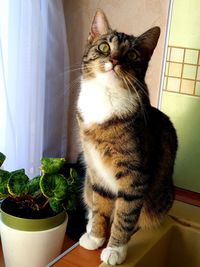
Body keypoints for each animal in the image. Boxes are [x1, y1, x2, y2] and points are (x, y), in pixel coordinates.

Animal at [76, 8, 177, 266]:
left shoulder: (134, 176)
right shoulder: (96, 173)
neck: (106, 96)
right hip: (87, 181)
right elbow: (101, 206)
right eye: (104, 47)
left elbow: (125, 214)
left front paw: (115, 250)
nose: (113, 61)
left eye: (131, 54)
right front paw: (96, 236)